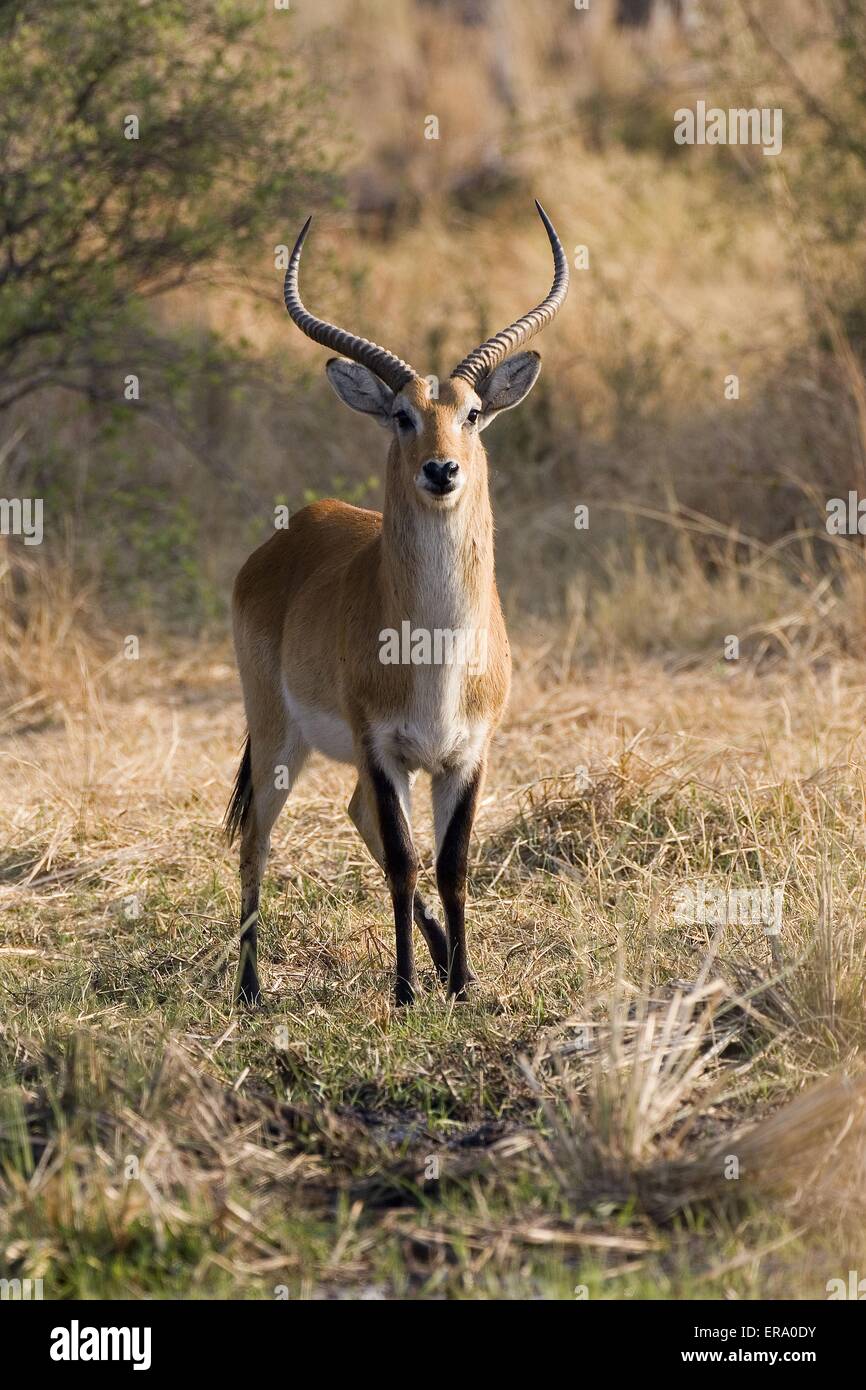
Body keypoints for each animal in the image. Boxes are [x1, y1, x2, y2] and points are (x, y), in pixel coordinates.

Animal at [226, 201, 572, 1006]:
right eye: (402, 416)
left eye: (472, 412)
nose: (441, 471)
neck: (435, 655)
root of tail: (293, 532)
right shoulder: (382, 747)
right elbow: (406, 860)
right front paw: (408, 992)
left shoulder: (465, 754)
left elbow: (450, 863)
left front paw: (463, 984)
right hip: (278, 734)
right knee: (257, 837)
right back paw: (251, 989)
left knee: (358, 822)